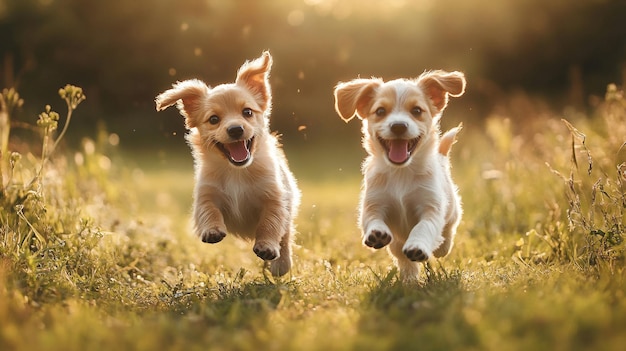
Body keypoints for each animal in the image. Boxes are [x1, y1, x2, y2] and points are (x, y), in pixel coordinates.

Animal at [155, 52, 298, 278]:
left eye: (247, 112)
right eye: (214, 119)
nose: (235, 129)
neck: (236, 171)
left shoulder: (275, 198)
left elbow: (271, 223)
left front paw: (267, 247)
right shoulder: (206, 194)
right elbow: (208, 211)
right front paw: (212, 230)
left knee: (285, 236)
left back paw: (280, 264)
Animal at [332, 71, 464, 284]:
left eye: (417, 110)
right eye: (380, 111)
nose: (398, 126)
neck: (401, 172)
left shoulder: (431, 207)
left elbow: (423, 227)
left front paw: (418, 245)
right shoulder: (373, 204)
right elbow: (372, 219)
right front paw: (376, 233)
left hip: (452, 209)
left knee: (447, 231)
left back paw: (441, 246)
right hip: (396, 245)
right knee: (404, 261)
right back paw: (409, 281)